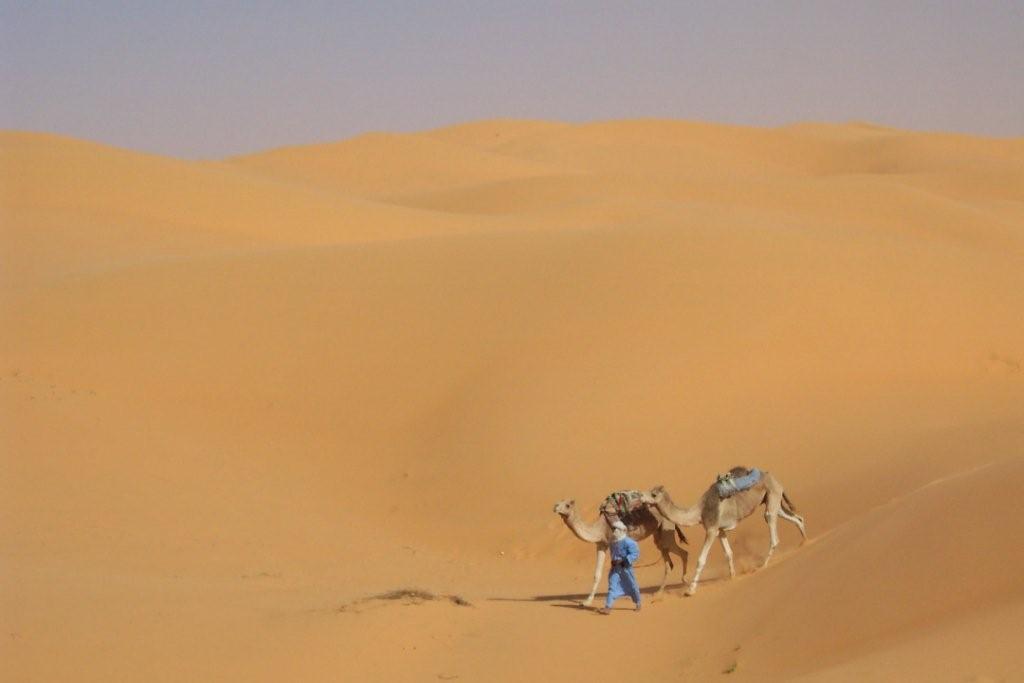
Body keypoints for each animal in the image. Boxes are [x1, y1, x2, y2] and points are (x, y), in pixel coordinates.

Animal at [552, 497, 688, 610]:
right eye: (558, 502)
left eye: (567, 505)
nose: (555, 507)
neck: (599, 528)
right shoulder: (601, 545)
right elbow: (597, 574)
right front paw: (586, 602)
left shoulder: (615, 543)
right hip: (658, 534)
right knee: (668, 561)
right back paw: (658, 594)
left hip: (666, 528)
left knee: (682, 552)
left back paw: (684, 583)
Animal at [638, 466, 806, 593]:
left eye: (653, 494)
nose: (640, 497)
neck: (700, 511)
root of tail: (773, 477)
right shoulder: (721, 531)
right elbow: (728, 554)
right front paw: (732, 577)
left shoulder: (711, 529)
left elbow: (701, 559)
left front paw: (690, 590)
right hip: (773, 498)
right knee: (795, 518)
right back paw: (804, 542)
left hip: (772, 494)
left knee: (772, 528)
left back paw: (763, 565)